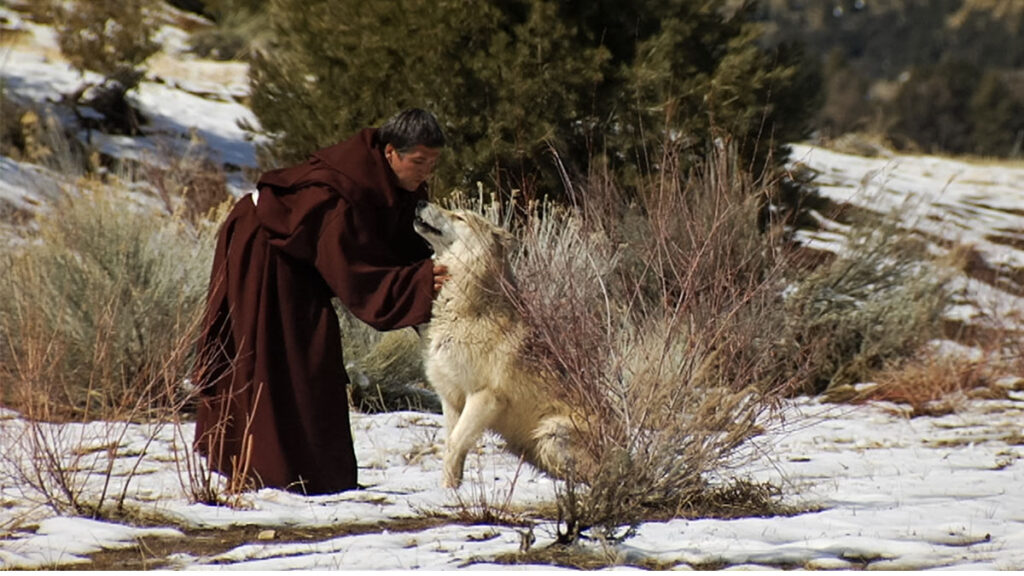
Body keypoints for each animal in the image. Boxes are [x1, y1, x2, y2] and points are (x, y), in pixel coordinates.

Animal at [413, 199, 593, 485]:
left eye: (460, 217)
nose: (420, 201)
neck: (464, 309)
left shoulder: (484, 398)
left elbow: (454, 445)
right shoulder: (450, 398)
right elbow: (451, 448)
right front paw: (449, 490)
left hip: (550, 432)